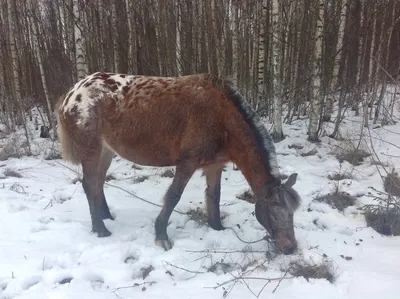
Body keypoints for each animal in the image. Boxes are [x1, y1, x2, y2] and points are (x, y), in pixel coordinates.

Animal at [56, 72, 300, 255]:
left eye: (292, 214)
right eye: (275, 214)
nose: (290, 249)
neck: (220, 118)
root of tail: (72, 94)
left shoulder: (214, 165)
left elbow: (214, 195)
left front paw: (217, 228)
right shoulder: (187, 163)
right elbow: (173, 196)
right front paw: (161, 236)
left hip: (106, 151)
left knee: (98, 183)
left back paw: (106, 216)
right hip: (91, 150)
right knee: (89, 185)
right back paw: (101, 228)